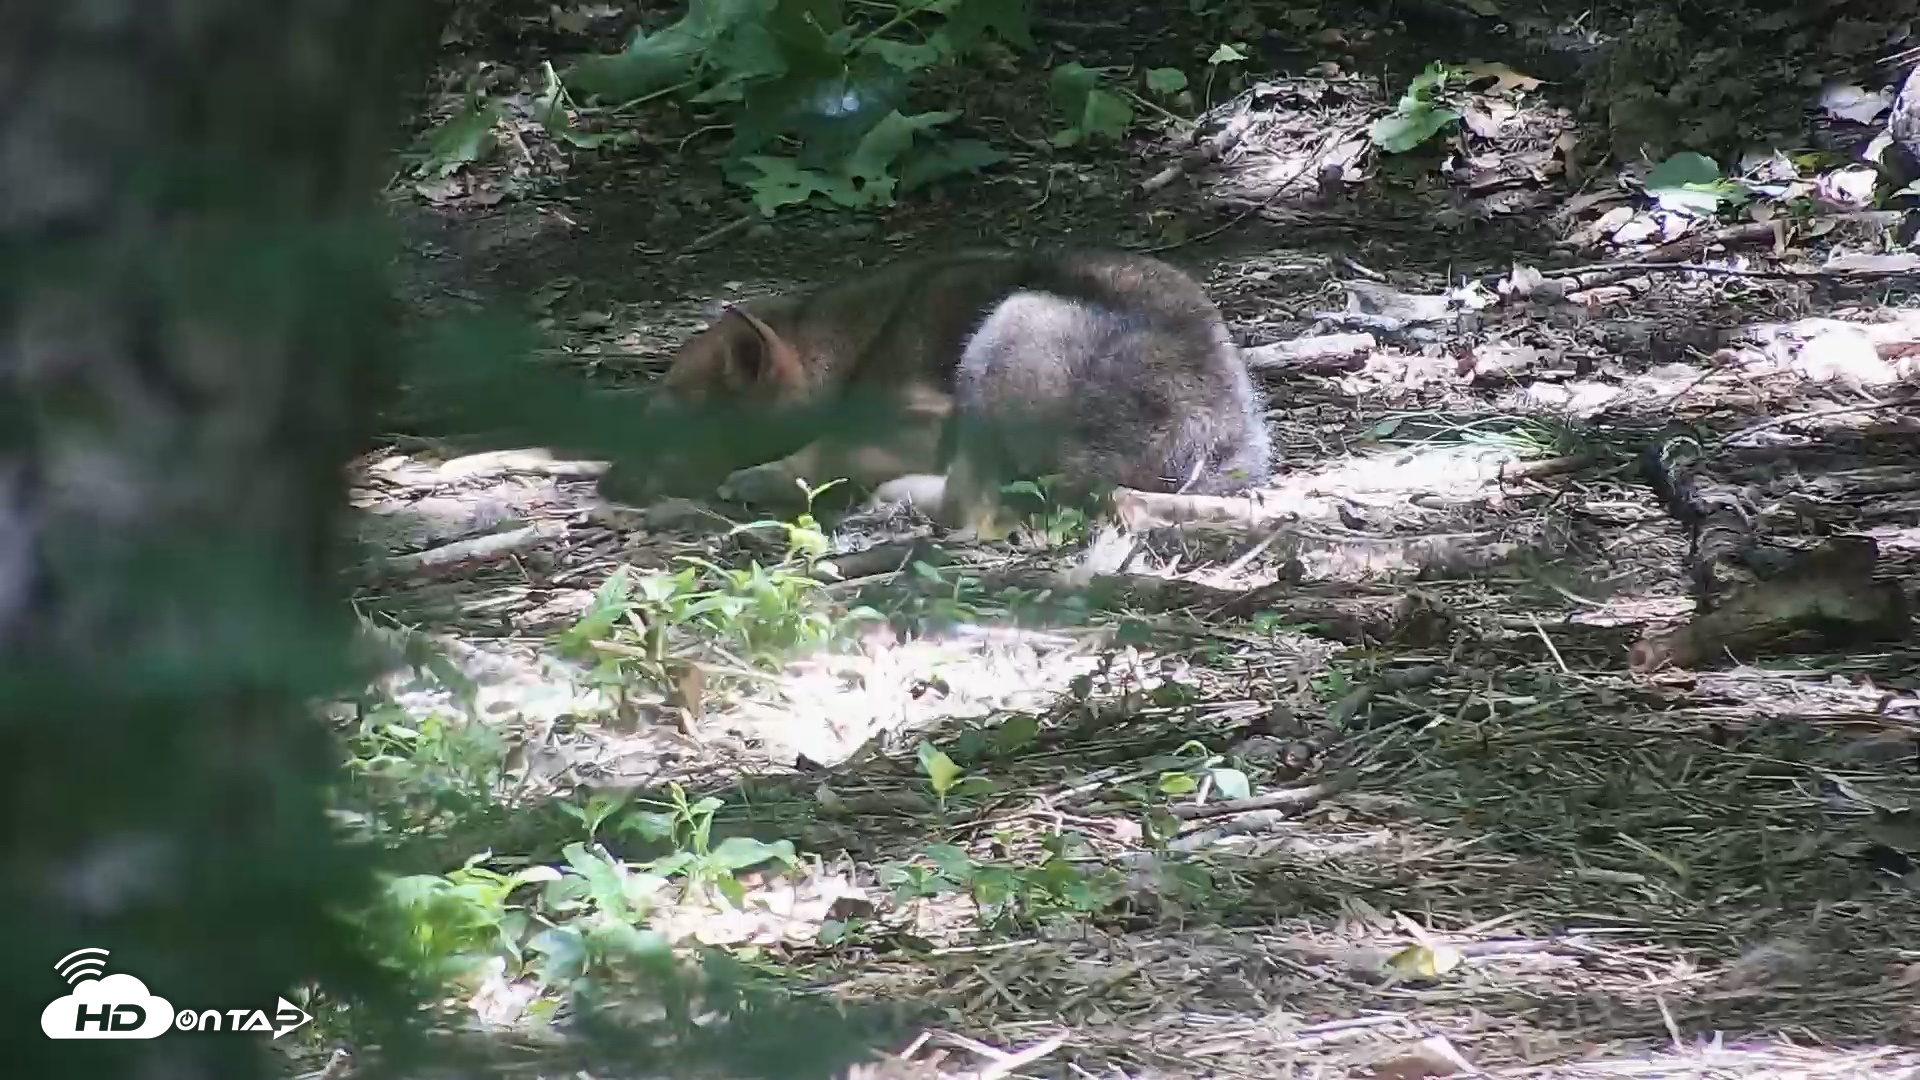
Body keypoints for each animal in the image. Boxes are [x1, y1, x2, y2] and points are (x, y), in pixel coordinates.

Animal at [606, 249, 1272, 536]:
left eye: (670, 421)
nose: (606, 484)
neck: (848, 352)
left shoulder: (926, 418)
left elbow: (828, 446)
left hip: (1012, 322)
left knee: (971, 509)